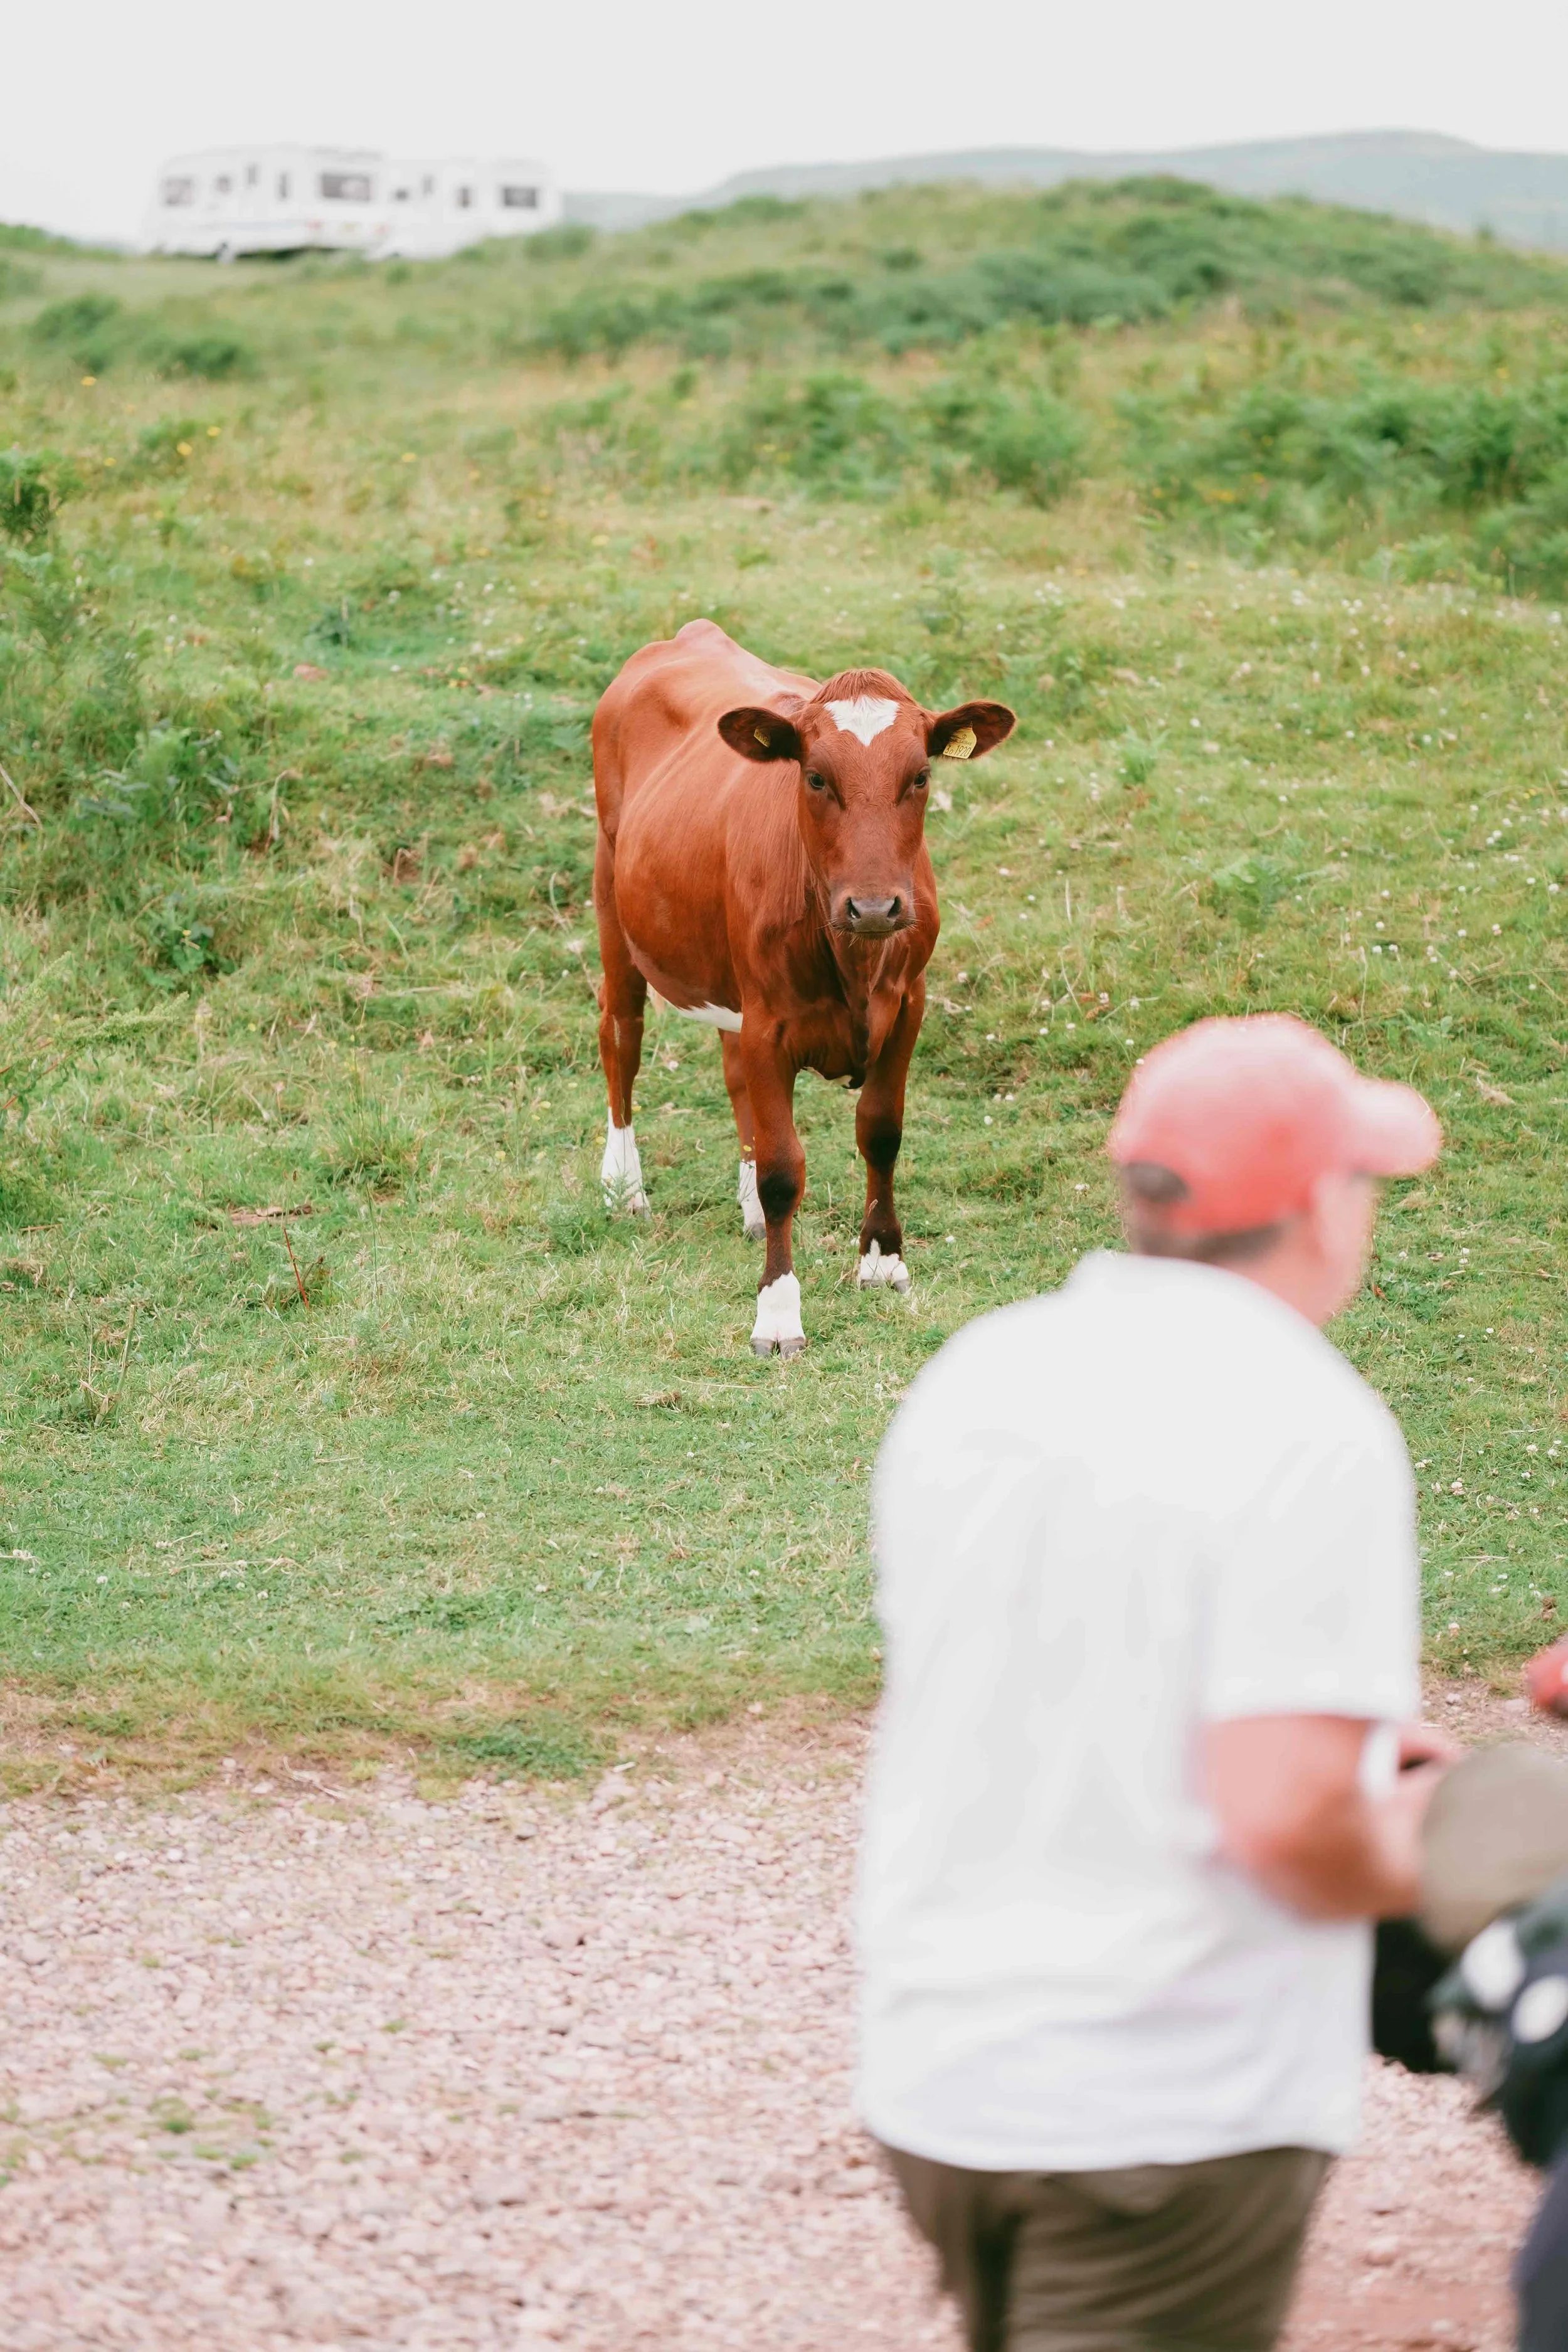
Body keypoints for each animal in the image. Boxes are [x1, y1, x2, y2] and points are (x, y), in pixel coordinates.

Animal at [589, 619, 1014, 1356]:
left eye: (921, 776)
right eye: (815, 777)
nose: (873, 907)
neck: (854, 960)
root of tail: (692, 633)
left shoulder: (908, 1007)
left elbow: (881, 1132)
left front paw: (883, 1261)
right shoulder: (771, 1024)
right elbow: (785, 1168)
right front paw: (778, 1313)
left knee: (732, 1075)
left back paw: (748, 1209)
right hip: (613, 900)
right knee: (621, 1036)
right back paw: (624, 1187)